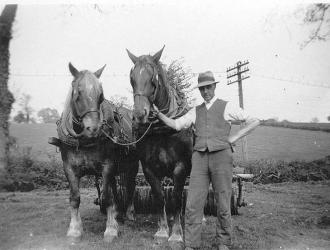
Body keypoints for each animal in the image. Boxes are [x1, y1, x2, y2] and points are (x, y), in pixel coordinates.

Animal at [56, 62, 139, 242]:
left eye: (101, 95)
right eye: (77, 93)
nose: (93, 128)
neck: (84, 140)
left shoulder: (107, 166)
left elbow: (107, 197)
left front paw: (111, 230)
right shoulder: (69, 168)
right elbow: (75, 198)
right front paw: (74, 230)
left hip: (132, 165)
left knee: (130, 186)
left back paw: (129, 213)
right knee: (115, 188)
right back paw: (118, 213)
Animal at [126, 46, 193, 244]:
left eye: (153, 78)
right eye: (132, 78)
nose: (139, 114)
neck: (163, 129)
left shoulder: (181, 167)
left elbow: (177, 198)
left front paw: (176, 234)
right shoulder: (149, 168)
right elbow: (160, 197)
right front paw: (163, 231)